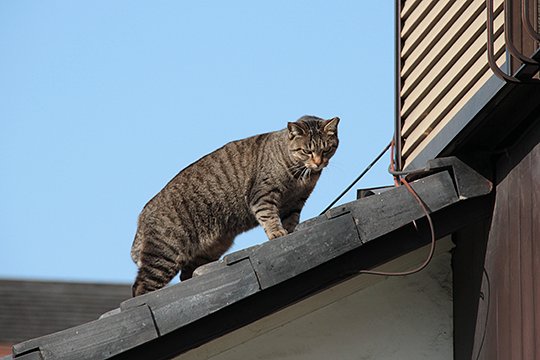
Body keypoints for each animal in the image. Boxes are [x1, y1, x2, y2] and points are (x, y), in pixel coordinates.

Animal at [131, 115, 340, 296]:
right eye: (307, 151)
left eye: (326, 149)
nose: (318, 163)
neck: (300, 175)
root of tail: (144, 213)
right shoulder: (262, 194)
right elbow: (269, 216)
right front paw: (277, 232)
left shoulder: (296, 202)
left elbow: (291, 220)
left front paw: (289, 231)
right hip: (165, 253)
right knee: (141, 287)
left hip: (208, 250)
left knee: (185, 275)